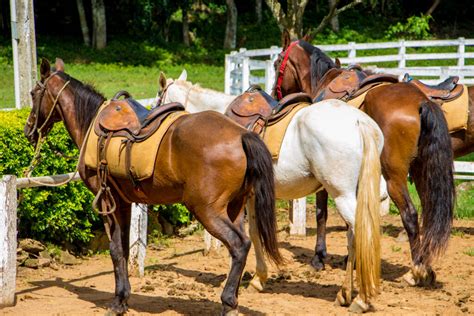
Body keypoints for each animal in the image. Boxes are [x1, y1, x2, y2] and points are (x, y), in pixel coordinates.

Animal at [23, 58, 282, 314]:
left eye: (34, 93)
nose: (28, 129)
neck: (94, 124)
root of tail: (241, 135)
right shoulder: (123, 202)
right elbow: (124, 248)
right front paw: (124, 298)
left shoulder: (108, 201)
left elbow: (115, 249)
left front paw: (118, 302)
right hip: (235, 207)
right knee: (244, 243)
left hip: (207, 210)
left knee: (239, 246)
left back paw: (228, 302)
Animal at [157, 69, 386, 312]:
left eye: (159, 97)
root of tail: (361, 122)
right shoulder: (250, 196)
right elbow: (252, 232)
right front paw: (257, 278)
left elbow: (249, 234)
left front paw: (250, 279)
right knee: (354, 235)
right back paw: (345, 293)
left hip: (342, 195)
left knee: (361, 233)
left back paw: (361, 299)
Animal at [274, 38, 456, 288]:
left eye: (276, 64)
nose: (275, 95)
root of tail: (420, 101)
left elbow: (322, 213)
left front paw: (319, 257)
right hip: (421, 172)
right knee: (427, 215)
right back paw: (426, 268)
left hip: (394, 177)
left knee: (410, 215)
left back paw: (417, 272)